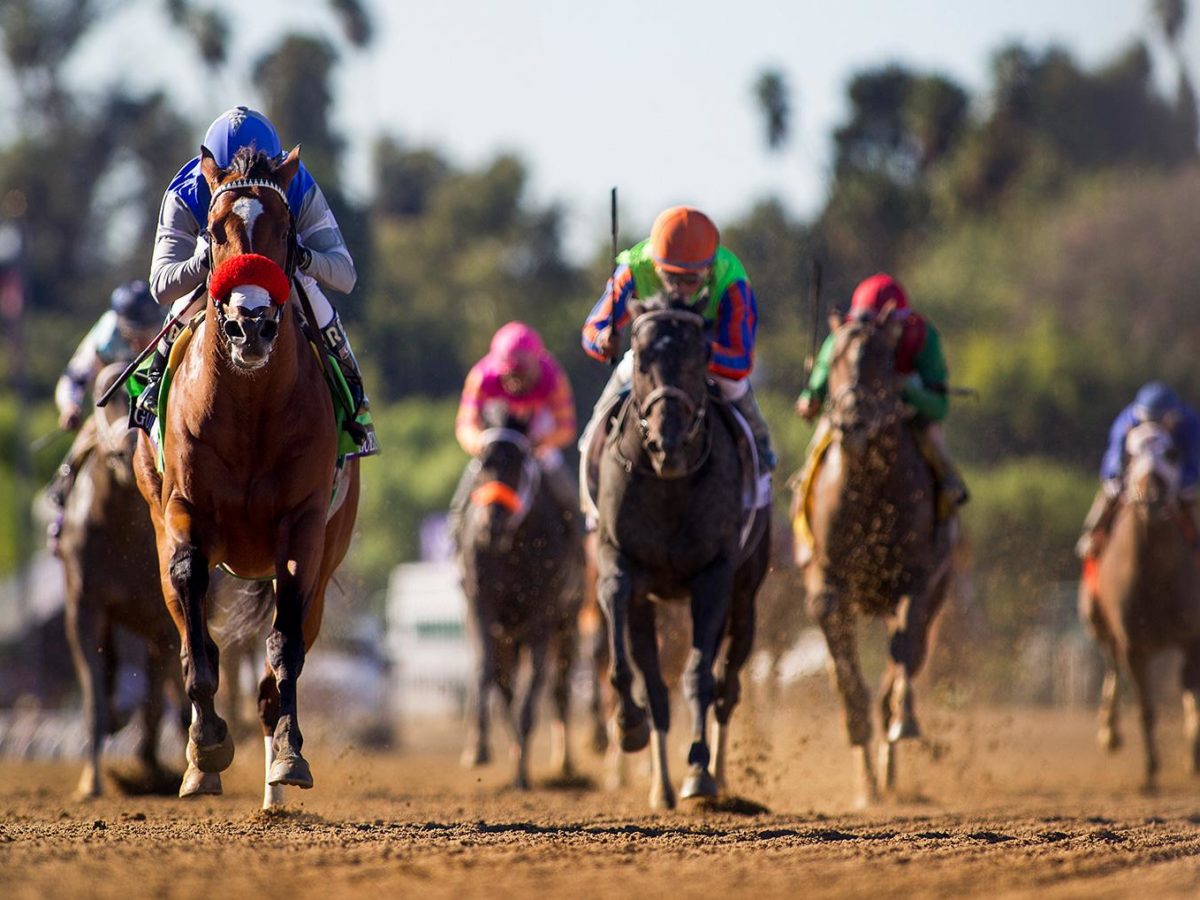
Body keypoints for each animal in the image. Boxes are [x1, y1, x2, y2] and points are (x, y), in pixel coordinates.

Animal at [136, 148, 357, 811]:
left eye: (285, 233)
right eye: (213, 231)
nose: (251, 325)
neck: (251, 409)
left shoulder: (304, 528)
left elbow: (284, 647)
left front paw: (289, 756)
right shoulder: (184, 512)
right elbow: (195, 633)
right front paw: (206, 747)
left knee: (277, 665)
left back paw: (273, 792)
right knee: (194, 630)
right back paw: (200, 763)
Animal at [456, 417, 583, 787]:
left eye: (518, 465)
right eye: (483, 464)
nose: (492, 525)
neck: (512, 546)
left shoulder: (542, 614)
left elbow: (536, 685)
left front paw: (523, 775)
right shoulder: (481, 606)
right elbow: (485, 671)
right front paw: (478, 749)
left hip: (568, 623)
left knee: (559, 689)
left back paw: (561, 765)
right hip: (506, 635)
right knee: (505, 685)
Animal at [590, 300, 768, 816]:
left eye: (699, 356)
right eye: (641, 357)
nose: (667, 441)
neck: (668, 484)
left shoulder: (714, 575)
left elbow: (699, 676)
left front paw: (699, 773)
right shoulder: (620, 562)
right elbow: (634, 661)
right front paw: (628, 723)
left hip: (746, 593)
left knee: (728, 685)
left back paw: (719, 777)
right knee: (658, 686)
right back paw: (660, 786)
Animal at [796, 312, 955, 811]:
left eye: (885, 359)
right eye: (834, 359)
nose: (852, 421)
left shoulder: (916, 580)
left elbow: (901, 661)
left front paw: (902, 722)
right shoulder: (826, 583)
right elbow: (849, 682)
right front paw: (864, 780)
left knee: (910, 656)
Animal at [1080, 422, 1200, 787]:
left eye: (1171, 453)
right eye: (1131, 455)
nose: (1152, 493)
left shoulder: (1192, 638)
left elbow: (1192, 695)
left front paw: (1193, 758)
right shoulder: (1134, 643)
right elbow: (1146, 707)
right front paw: (1150, 772)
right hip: (1098, 619)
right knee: (1112, 664)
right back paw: (1109, 733)